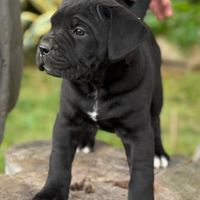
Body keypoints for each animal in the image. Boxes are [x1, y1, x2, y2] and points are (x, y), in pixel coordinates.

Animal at [34, 0, 169, 200]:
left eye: (79, 31)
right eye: (52, 25)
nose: (42, 48)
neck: (96, 85)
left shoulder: (138, 132)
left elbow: (141, 173)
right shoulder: (66, 120)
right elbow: (59, 160)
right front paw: (51, 192)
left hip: (157, 97)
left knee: (156, 123)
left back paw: (159, 154)